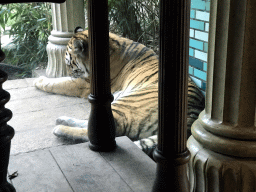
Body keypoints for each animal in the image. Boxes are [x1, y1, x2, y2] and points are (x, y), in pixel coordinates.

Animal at [34, 27, 205, 158]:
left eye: (69, 63)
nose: (70, 72)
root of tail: (194, 112)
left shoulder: (85, 84)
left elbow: (59, 83)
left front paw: (39, 81)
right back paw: (62, 119)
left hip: (129, 101)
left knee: (110, 129)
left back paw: (60, 129)